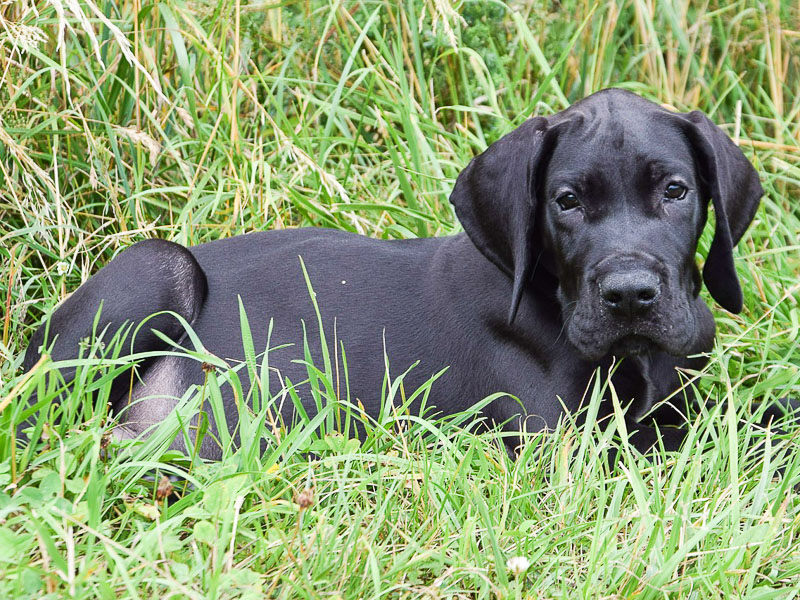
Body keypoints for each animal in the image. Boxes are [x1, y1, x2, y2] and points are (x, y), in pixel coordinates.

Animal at [21, 88, 764, 460]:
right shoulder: (562, 448)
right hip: (160, 265)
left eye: (675, 192)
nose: (631, 296)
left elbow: (740, 419)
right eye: (567, 201)